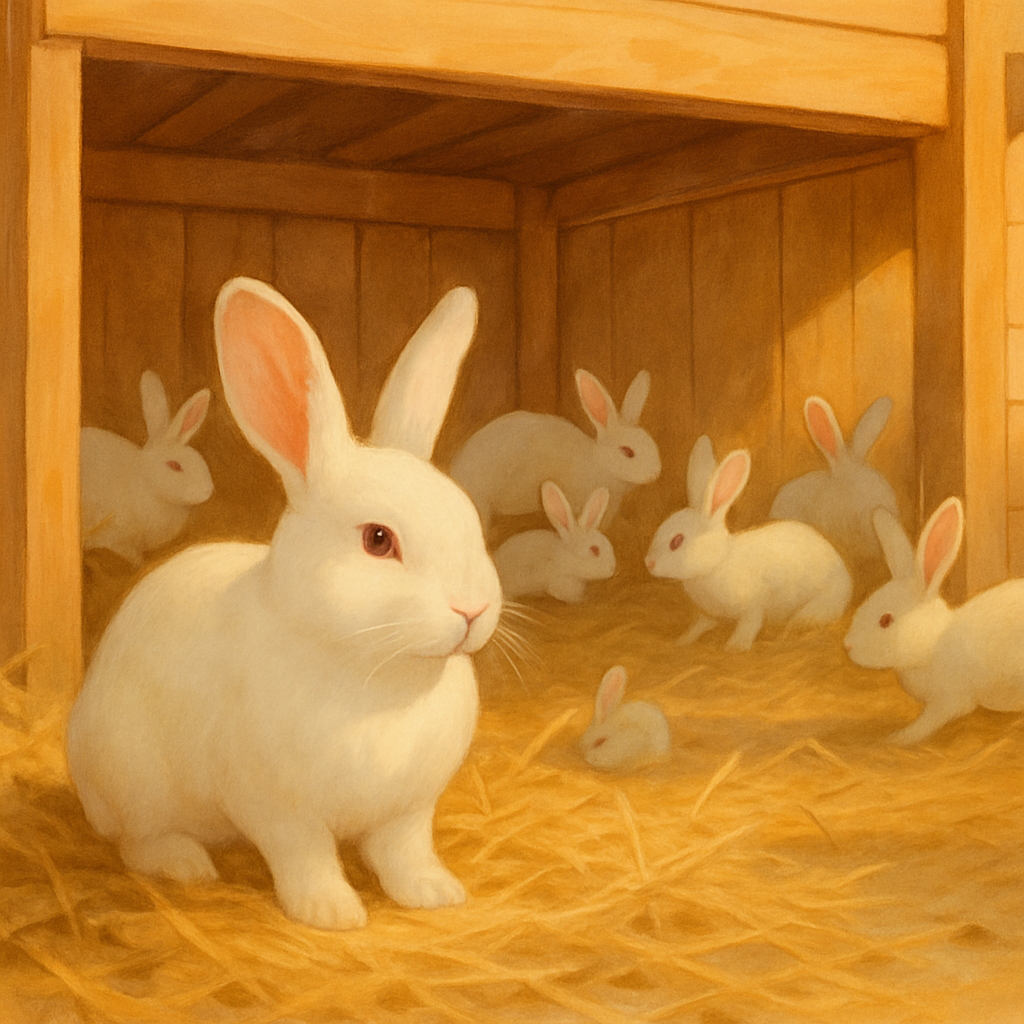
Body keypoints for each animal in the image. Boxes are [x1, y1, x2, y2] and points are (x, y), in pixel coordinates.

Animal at [80, 370, 213, 565]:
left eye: (199, 459)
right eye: (175, 466)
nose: (207, 491)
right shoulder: (118, 538)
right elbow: (132, 556)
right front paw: (140, 565)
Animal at [646, 435, 852, 652]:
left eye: (677, 541)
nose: (648, 563)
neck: (717, 563)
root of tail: (846, 580)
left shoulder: (753, 606)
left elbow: (750, 623)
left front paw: (735, 647)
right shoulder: (709, 613)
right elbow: (700, 625)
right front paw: (682, 640)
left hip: (821, 601)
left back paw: (793, 628)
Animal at [844, 497, 1024, 745]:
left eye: (886, 620)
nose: (847, 645)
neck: (932, 644)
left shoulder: (946, 702)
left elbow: (925, 724)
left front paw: (896, 739)